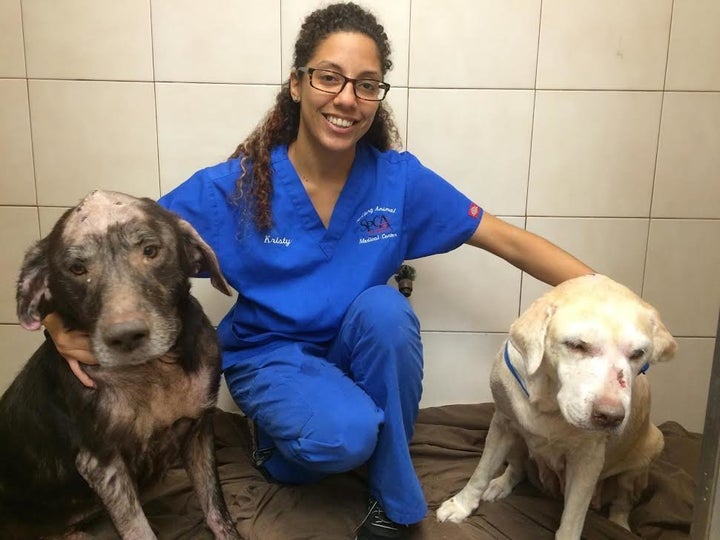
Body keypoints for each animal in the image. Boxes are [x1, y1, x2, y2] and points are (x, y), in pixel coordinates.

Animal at [0, 191, 242, 540]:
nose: (126, 336)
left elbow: (215, 509)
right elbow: (138, 529)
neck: (155, 370)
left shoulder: (198, 431)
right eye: (77, 268)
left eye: (150, 251)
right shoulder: (102, 463)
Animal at [436, 274, 676, 540]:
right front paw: (461, 505)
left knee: (622, 502)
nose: (611, 417)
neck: (549, 400)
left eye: (638, 353)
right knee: (517, 468)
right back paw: (499, 484)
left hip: (647, 454)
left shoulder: (587, 461)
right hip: (516, 440)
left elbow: (573, 517)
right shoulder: (502, 424)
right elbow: (481, 471)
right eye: (576, 345)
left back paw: (620, 524)